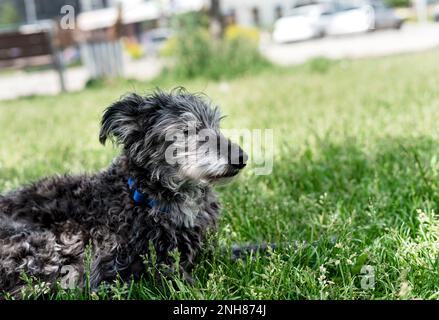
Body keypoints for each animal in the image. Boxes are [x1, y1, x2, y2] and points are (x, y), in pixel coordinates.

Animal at [0, 89, 248, 296]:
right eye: (187, 130)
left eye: (216, 125)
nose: (242, 158)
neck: (142, 197)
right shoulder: (153, 264)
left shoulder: (206, 249)